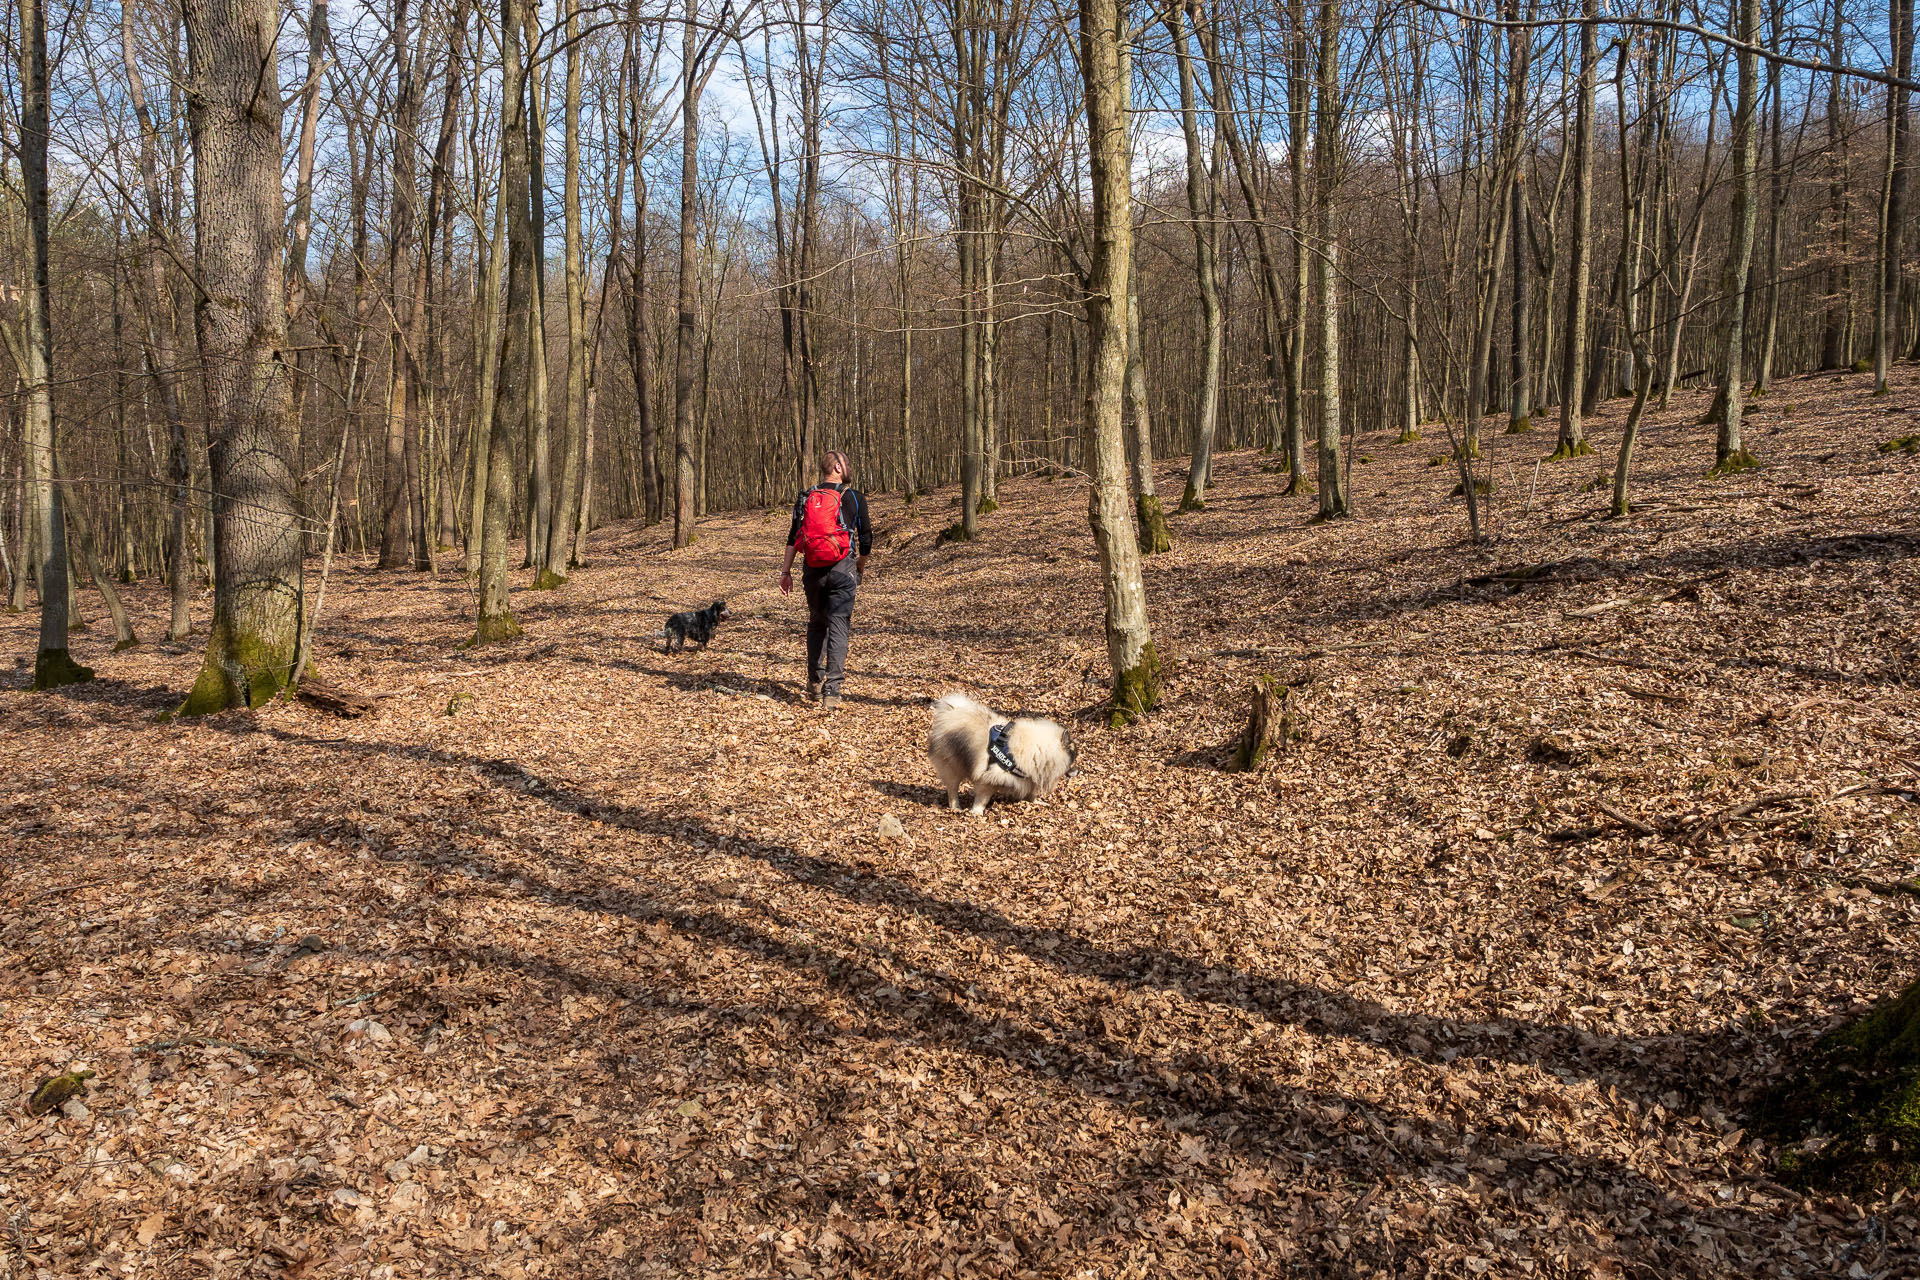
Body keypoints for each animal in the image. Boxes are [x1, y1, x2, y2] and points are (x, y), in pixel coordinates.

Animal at [921, 694, 1075, 817]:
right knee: (952, 788)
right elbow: (982, 798)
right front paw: (977, 811)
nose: (1077, 770)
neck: (1037, 748)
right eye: (1073, 760)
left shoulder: (1028, 778)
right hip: (953, 766)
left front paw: (1037, 802)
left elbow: (1031, 794)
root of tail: (950, 712)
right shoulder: (989, 777)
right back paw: (956, 807)